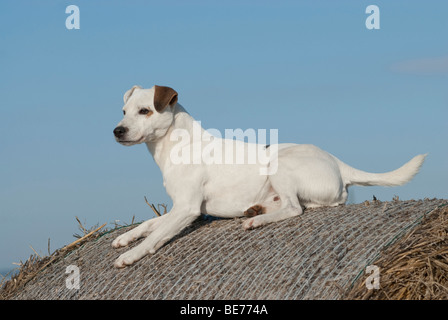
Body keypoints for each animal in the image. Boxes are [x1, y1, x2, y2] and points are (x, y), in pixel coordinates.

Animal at [113, 84, 428, 266]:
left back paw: (258, 220)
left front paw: (129, 256)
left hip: (281, 164)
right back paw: (257, 210)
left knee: (295, 208)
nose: (117, 130)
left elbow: (157, 235)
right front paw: (125, 238)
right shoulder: (183, 208)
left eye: (145, 111)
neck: (180, 144)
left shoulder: (187, 209)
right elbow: (150, 224)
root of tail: (338, 163)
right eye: (124, 111)